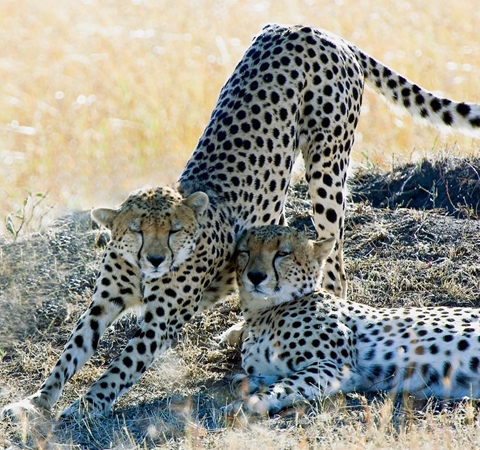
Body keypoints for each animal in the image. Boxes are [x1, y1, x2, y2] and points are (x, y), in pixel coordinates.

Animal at [3, 24, 480, 418]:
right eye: (136, 230)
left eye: (174, 230)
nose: (156, 260)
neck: (141, 272)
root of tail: (311, 27)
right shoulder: (102, 303)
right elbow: (72, 350)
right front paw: (37, 401)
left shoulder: (160, 321)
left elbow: (121, 365)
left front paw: (88, 405)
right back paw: (240, 324)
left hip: (327, 168)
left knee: (331, 262)